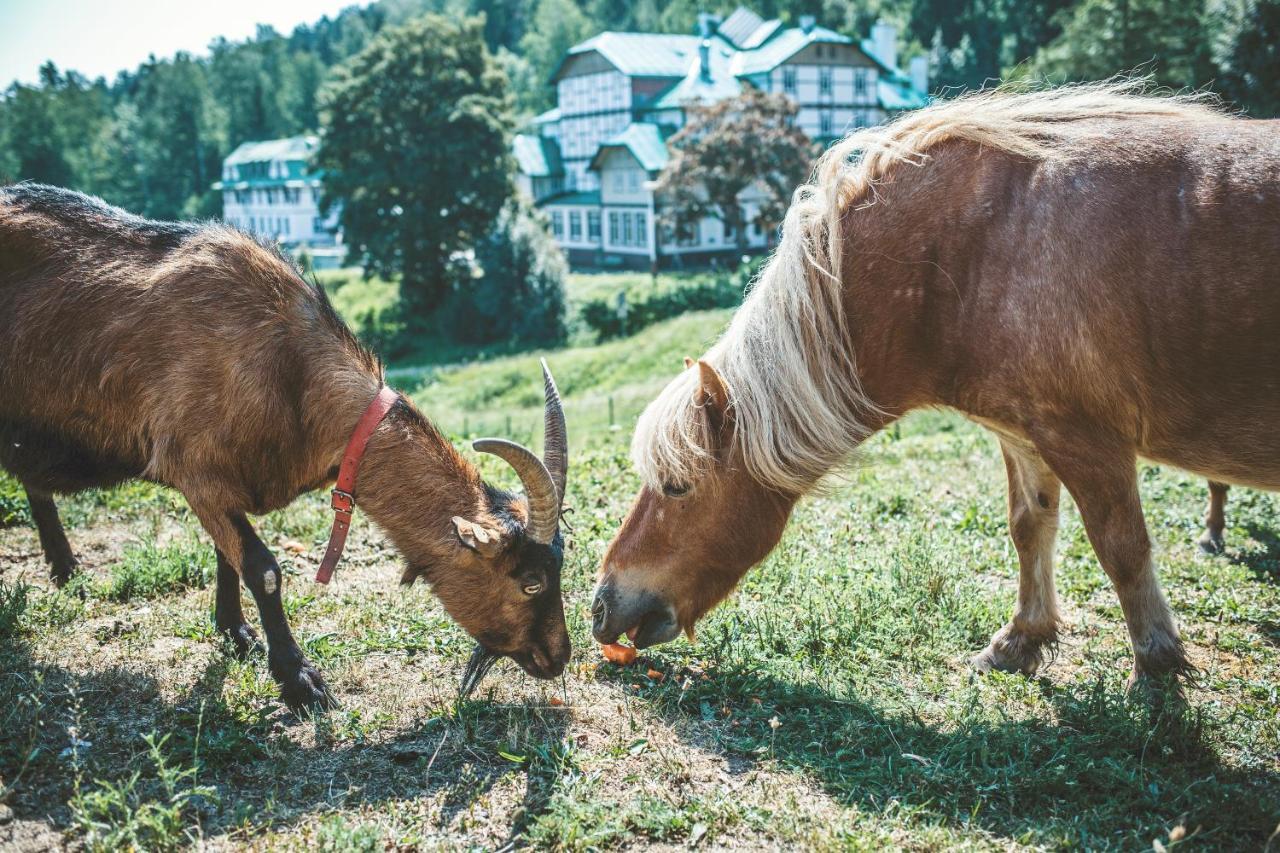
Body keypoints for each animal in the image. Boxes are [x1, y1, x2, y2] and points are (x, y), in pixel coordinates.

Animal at [0, 183, 570, 706]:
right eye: (531, 582)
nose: (558, 656)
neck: (288, 370)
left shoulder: (220, 485)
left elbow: (225, 555)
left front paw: (235, 633)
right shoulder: (195, 468)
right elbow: (263, 569)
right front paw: (299, 679)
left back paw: (66, 570)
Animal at [596, 83, 1280, 686]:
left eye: (677, 487)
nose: (601, 605)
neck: (975, 250)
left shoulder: (1088, 441)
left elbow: (1122, 547)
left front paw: (1156, 663)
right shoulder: (1025, 436)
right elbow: (1029, 527)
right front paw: (1020, 641)